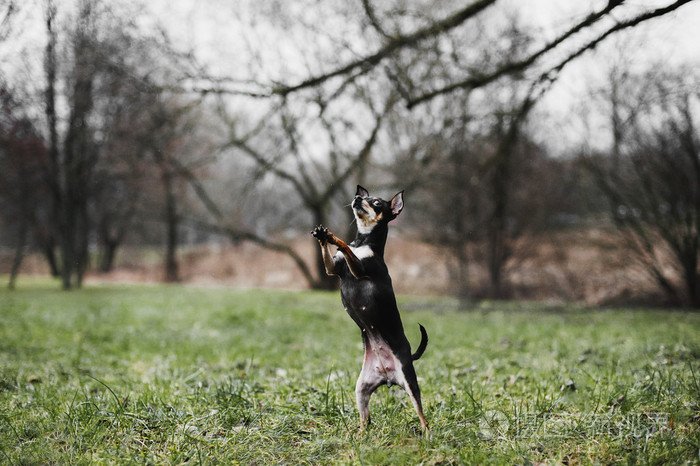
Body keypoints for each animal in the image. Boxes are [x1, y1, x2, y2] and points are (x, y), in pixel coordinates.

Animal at [310, 185, 430, 434]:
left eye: (376, 203)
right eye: (364, 197)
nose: (357, 198)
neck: (363, 242)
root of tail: (387, 377)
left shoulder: (360, 268)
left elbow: (345, 245)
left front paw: (333, 237)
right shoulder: (332, 268)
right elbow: (335, 255)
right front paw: (322, 236)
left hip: (409, 381)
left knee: (422, 414)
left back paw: (427, 434)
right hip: (361, 389)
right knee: (366, 417)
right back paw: (360, 433)